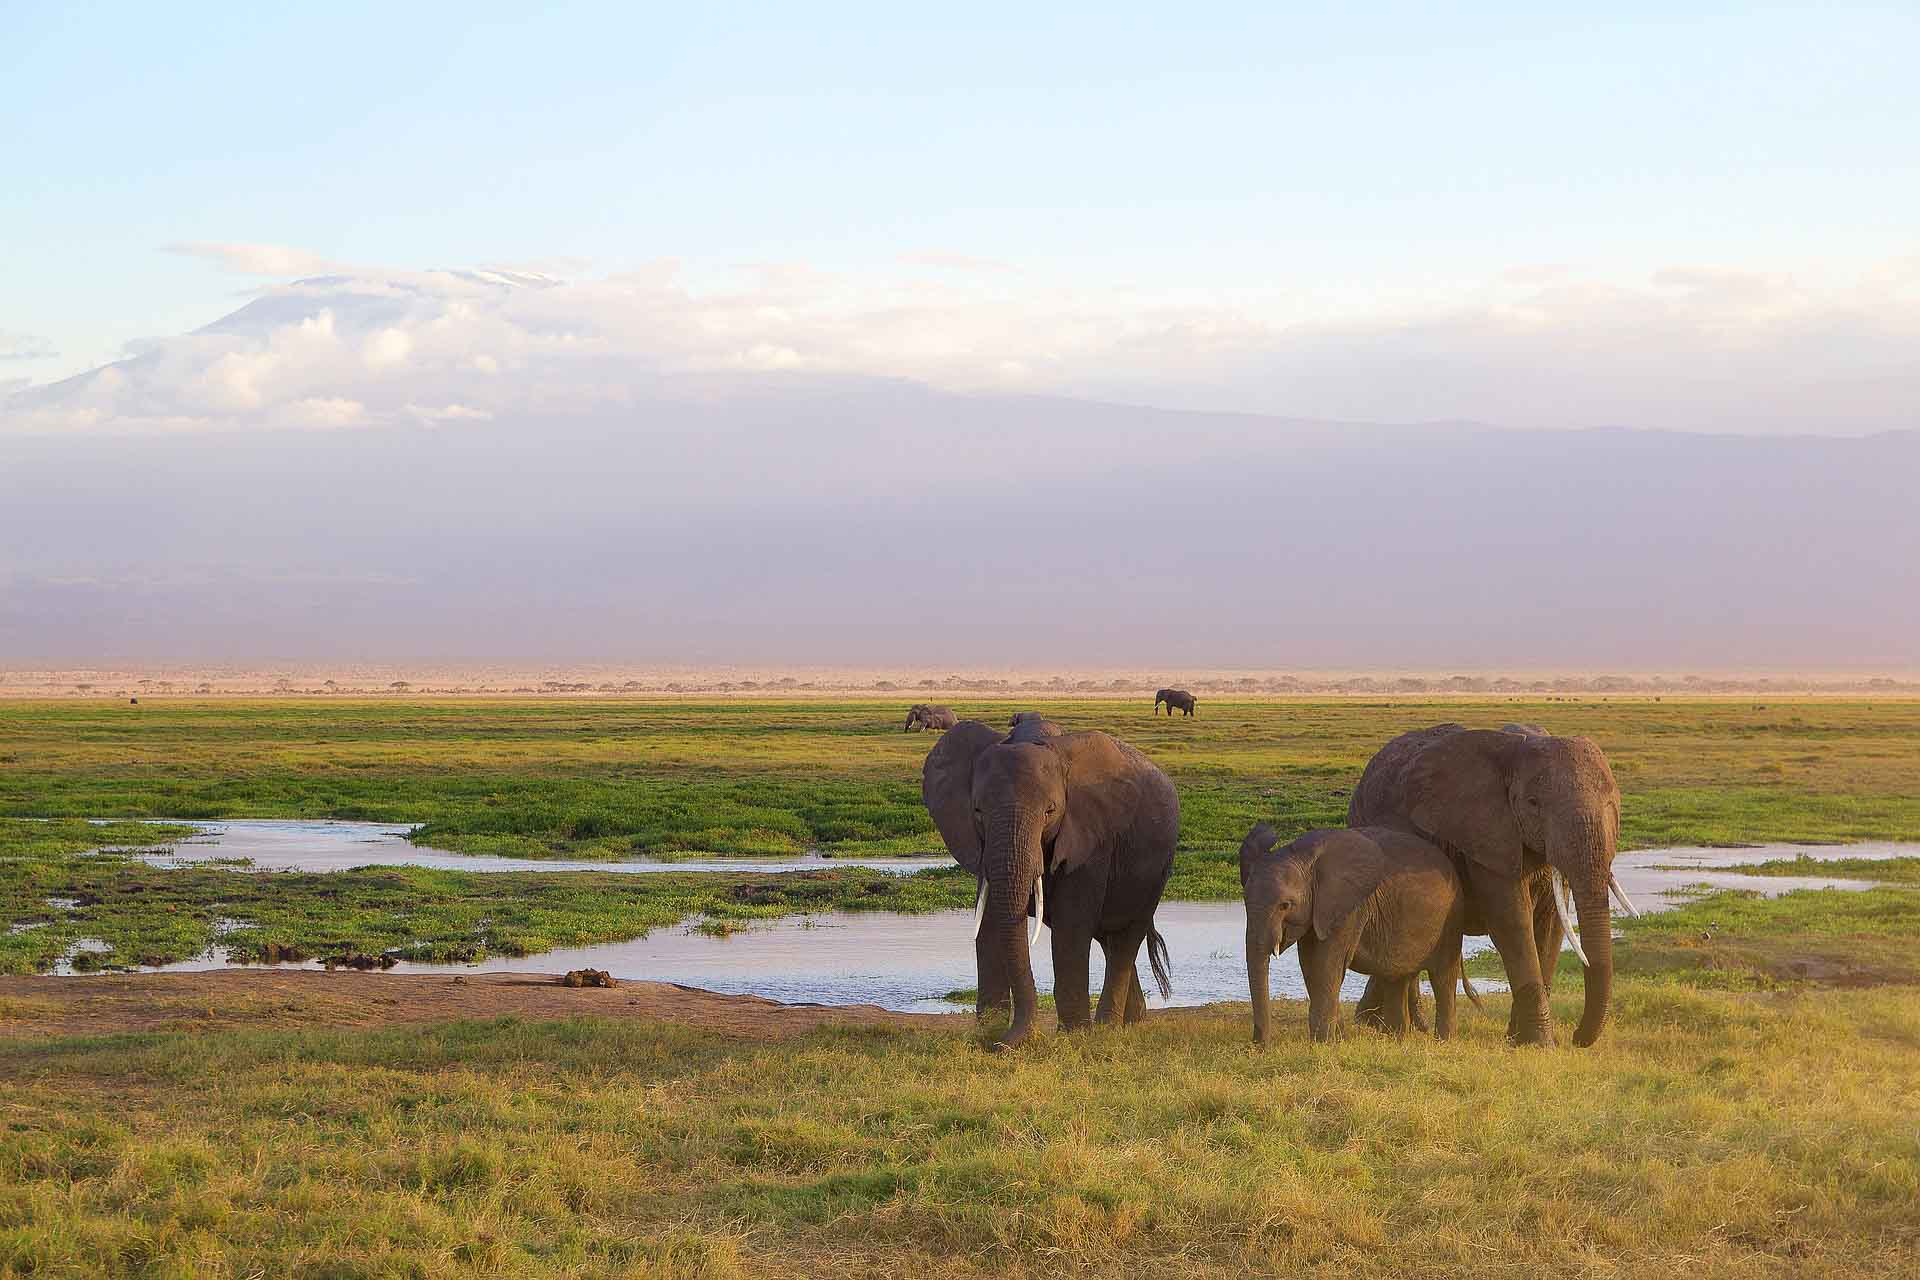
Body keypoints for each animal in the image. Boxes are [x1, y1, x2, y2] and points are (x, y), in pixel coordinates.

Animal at [921, 721, 1175, 1051]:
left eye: (1050, 811)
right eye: (977, 811)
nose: (1001, 1045)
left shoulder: (1091, 839)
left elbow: (1071, 925)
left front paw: (1074, 1037)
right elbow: (989, 920)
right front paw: (988, 1030)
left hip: (1155, 872)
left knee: (1125, 939)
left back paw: (1107, 1028)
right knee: (1108, 941)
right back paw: (1132, 1022)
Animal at [1236, 825, 1474, 1043]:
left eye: (1285, 905)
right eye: (1244, 899)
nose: (1260, 1046)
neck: (1304, 856)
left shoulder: (1350, 909)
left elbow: (1326, 965)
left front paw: (1323, 1044)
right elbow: (1311, 964)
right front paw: (1336, 1040)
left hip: (1452, 918)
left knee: (1443, 976)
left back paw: (1444, 1041)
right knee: (1397, 977)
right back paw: (1397, 1040)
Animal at [1351, 725, 1635, 1043]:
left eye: (1612, 803)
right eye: (1533, 803)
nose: (1575, 1037)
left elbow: (1551, 924)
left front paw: (1519, 1039)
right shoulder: (1485, 835)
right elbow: (1512, 921)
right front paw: (1539, 1043)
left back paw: (1385, 1024)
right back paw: (1380, 1025)